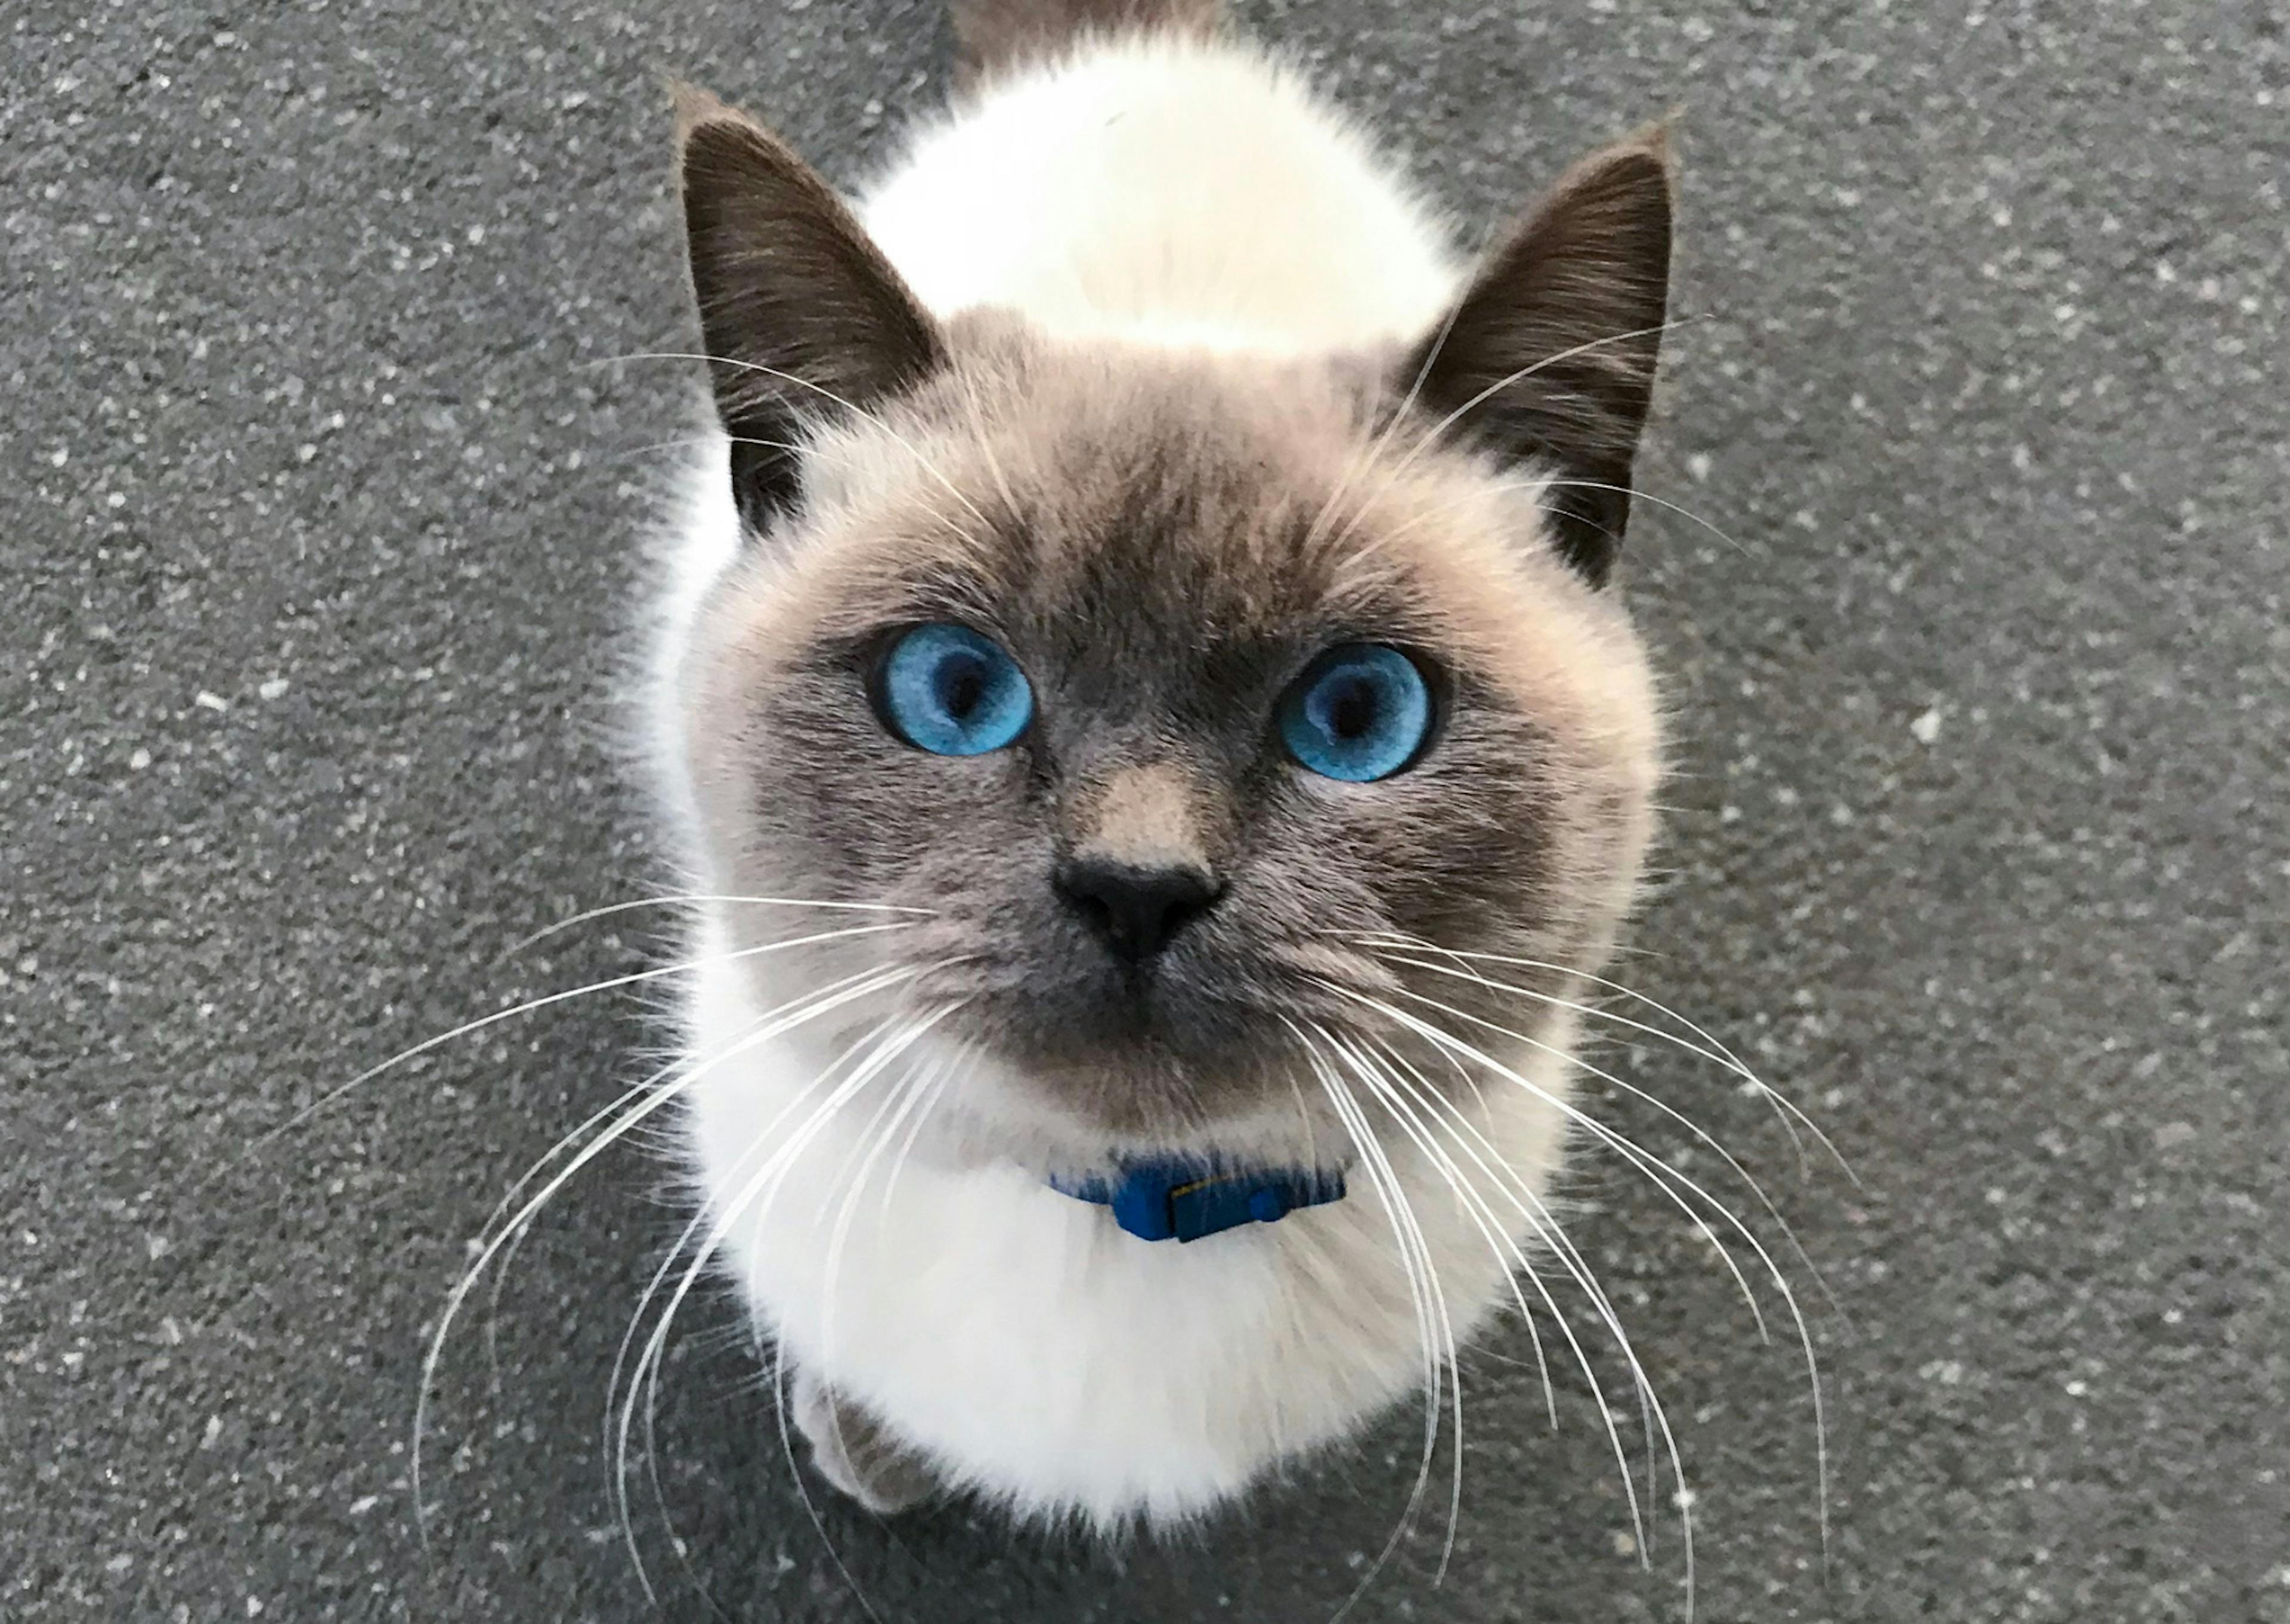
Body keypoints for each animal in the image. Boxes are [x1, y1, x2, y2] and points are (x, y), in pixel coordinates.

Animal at [636, 0, 1676, 1530]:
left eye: (1358, 717)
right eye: (955, 695)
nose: (1137, 889)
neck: (1133, 1217)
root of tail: (1150, 56)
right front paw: (869, 1453)